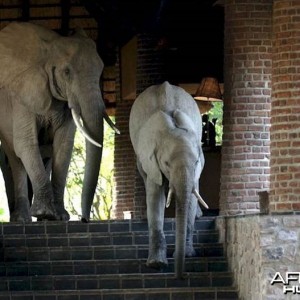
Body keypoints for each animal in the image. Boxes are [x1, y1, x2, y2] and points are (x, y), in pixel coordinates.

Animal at [0, 21, 118, 223]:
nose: (84, 219)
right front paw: (45, 213)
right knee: (15, 157)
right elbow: (25, 144)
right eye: (67, 72)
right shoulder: (22, 96)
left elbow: (64, 145)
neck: (51, 48)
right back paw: (22, 219)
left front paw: (59, 217)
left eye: (101, 70)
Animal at [129, 80, 209, 278]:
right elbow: (155, 197)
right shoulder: (151, 158)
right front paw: (157, 264)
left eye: (196, 161)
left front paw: (187, 254)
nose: (181, 277)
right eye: (166, 163)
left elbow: (191, 198)